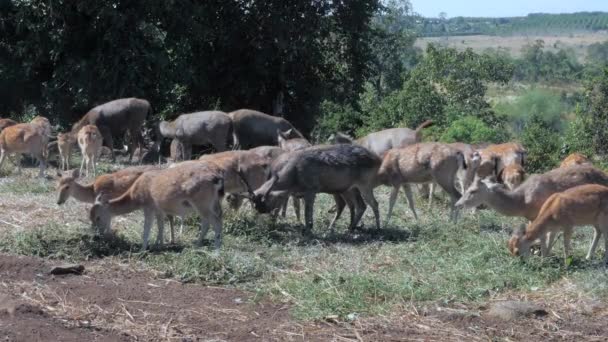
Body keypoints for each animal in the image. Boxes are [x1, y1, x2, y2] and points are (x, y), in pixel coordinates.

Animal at [89, 162, 224, 250]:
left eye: (97, 217)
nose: (96, 236)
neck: (135, 195)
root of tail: (217, 178)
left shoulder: (148, 207)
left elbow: (147, 227)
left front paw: (142, 249)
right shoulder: (159, 209)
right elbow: (160, 226)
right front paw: (159, 245)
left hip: (202, 203)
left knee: (215, 222)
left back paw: (216, 251)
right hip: (212, 203)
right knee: (210, 221)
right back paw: (196, 245)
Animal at [238, 143, 380, 234]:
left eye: (268, 202)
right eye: (255, 206)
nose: (264, 212)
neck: (294, 177)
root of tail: (377, 159)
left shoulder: (312, 189)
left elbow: (307, 213)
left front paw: (308, 228)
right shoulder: (296, 193)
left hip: (365, 183)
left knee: (373, 203)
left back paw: (378, 227)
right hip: (349, 188)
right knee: (358, 205)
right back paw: (349, 227)